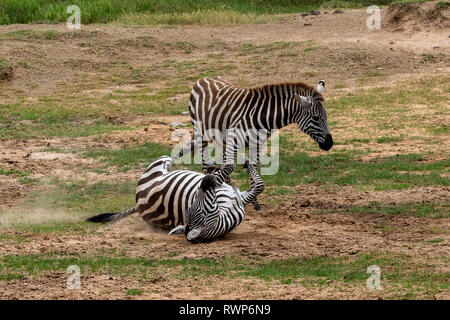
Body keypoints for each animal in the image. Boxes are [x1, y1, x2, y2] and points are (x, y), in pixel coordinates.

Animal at [86, 156, 264, 241]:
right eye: (193, 204)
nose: (205, 182)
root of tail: (138, 204)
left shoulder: (240, 198)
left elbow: (259, 186)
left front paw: (246, 163)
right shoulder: (225, 189)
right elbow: (230, 169)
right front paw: (240, 161)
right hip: (162, 162)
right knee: (175, 155)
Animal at [178, 76, 332, 211]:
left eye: (325, 116)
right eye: (316, 118)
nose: (329, 144)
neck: (262, 118)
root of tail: (204, 78)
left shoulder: (256, 145)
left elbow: (253, 175)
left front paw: (255, 204)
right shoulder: (235, 140)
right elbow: (230, 167)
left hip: (222, 139)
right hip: (201, 132)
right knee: (205, 163)